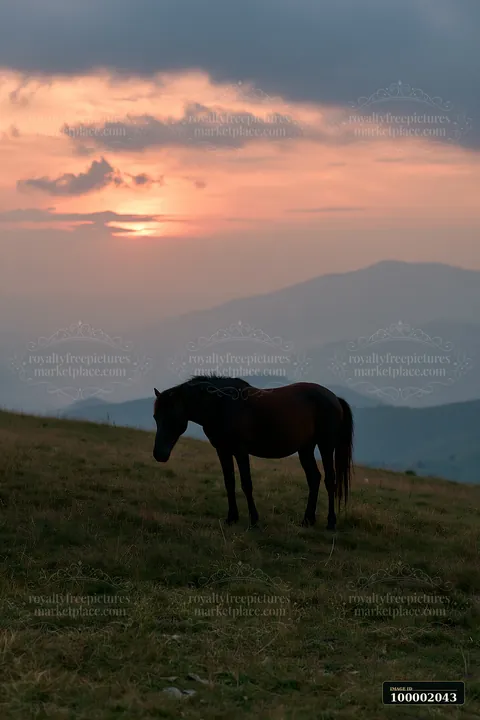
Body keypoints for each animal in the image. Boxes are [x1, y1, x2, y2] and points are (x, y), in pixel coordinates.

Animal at [152, 375, 354, 531]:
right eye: (155, 417)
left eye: (172, 416)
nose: (159, 454)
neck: (222, 405)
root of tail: (335, 398)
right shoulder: (223, 451)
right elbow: (229, 483)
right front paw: (231, 518)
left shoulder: (241, 451)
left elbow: (246, 484)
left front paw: (254, 521)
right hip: (305, 449)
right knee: (314, 478)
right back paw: (307, 520)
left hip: (326, 445)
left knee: (330, 480)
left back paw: (330, 523)